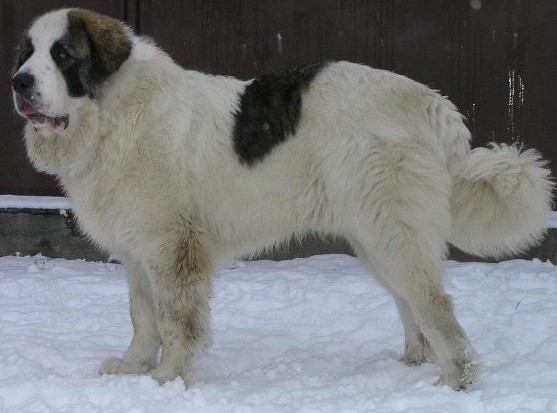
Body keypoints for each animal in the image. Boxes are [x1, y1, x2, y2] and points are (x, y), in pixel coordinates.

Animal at [11, 8, 552, 392]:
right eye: (27, 54)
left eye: (64, 55)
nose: (19, 82)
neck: (111, 113)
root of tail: (434, 103)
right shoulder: (136, 251)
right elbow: (142, 317)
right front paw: (132, 369)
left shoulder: (170, 247)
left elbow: (174, 321)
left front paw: (166, 381)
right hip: (376, 237)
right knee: (411, 304)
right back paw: (413, 363)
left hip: (393, 234)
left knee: (436, 307)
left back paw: (453, 381)